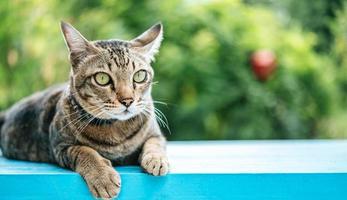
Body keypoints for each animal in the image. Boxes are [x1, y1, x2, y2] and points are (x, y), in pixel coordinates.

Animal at [0, 21, 170, 199]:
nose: (128, 100)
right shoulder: (61, 146)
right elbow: (85, 151)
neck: (117, 130)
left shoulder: (155, 134)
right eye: (102, 78)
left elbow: (155, 143)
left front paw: (157, 160)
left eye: (139, 76)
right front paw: (103, 177)